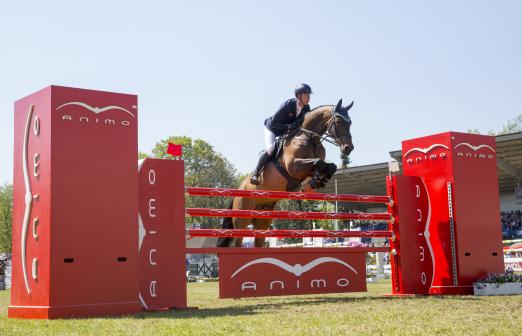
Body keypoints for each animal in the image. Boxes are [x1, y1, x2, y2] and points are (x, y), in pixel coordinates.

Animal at [215, 98, 354, 248]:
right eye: (338, 121)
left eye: (350, 123)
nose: (348, 148)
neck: (310, 139)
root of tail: (238, 191)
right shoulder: (293, 167)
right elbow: (318, 162)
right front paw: (315, 181)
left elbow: (329, 166)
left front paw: (317, 182)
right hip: (242, 219)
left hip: (263, 219)